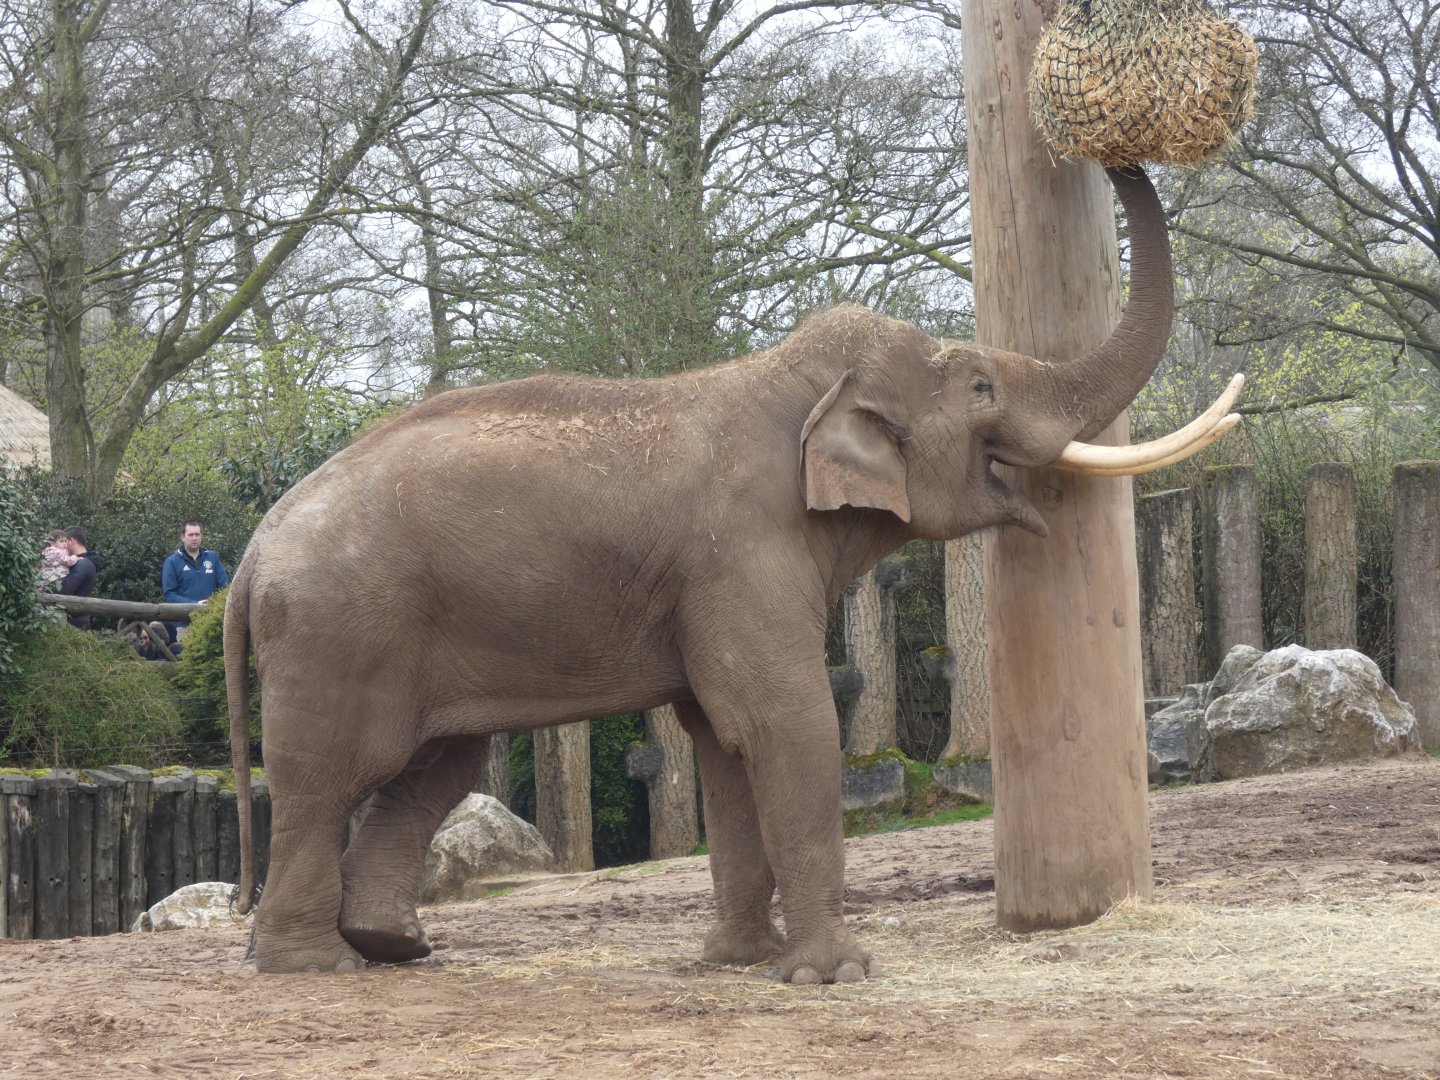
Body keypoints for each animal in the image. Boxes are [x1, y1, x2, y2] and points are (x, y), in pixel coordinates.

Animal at [226, 164, 1237, 982]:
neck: (794, 382)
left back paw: (392, 948)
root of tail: (250, 551)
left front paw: (740, 960)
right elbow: (782, 720)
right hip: (339, 629)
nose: (1115, 153)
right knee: (333, 772)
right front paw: (832, 975)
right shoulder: (742, 553)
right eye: (983, 389)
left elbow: (719, 740)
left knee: (438, 764)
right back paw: (310, 965)